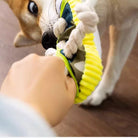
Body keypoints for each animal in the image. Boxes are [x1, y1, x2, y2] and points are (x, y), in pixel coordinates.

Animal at [2, 0, 138, 105]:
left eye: (33, 7)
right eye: (38, 38)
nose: (46, 41)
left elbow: (113, 64)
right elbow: (113, 65)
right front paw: (99, 92)